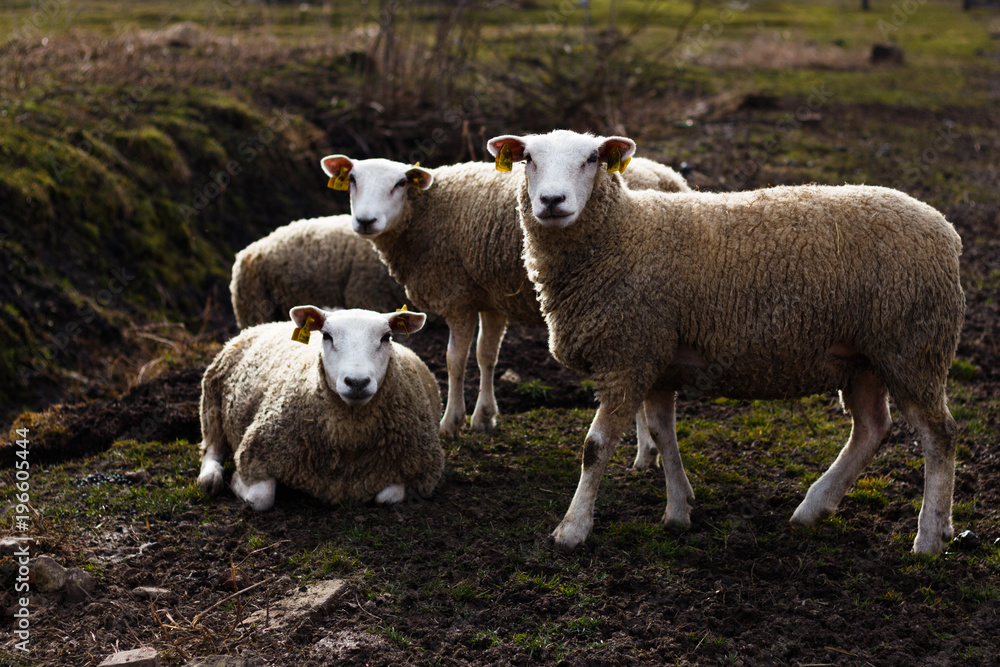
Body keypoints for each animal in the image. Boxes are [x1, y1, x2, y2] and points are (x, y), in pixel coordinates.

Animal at [197, 306, 444, 510]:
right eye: (326, 336)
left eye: (386, 337)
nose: (357, 382)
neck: (349, 439)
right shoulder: (258, 451)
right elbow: (260, 498)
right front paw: (236, 482)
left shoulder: (419, 470)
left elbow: (389, 496)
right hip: (212, 402)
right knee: (212, 448)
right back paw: (210, 478)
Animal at [317, 154, 689, 447]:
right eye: (352, 180)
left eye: (398, 184)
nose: (365, 221)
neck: (425, 214)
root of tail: (670, 178)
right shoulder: (491, 298)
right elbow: (487, 356)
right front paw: (484, 417)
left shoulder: (458, 296)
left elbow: (455, 360)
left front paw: (451, 422)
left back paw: (645, 451)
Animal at [487, 129, 965, 555]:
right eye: (528, 159)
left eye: (592, 159)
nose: (552, 201)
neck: (624, 233)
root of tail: (945, 229)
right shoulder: (657, 357)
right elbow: (662, 434)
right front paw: (678, 510)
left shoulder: (628, 355)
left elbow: (595, 448)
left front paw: (572, 529)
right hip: (864, 357)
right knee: (871, 429)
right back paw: (814, 507)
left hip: (912, 347)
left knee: (939, 435)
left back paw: (928, 537)